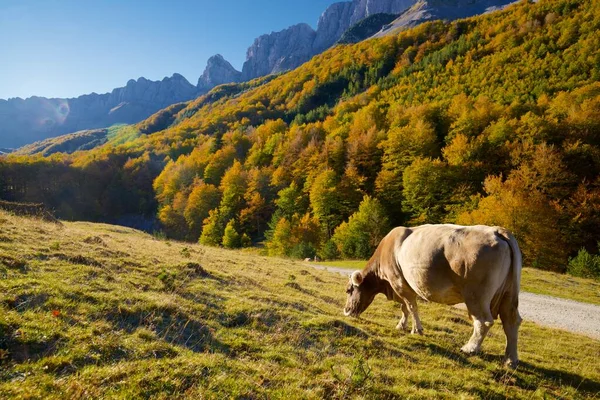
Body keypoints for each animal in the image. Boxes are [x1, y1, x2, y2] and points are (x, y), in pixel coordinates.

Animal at [344, 223, 524, 368]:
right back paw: (510, 359)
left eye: (349, 290)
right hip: (509, 293)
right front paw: (402, 325)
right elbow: (404, 308)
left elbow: (411, 307)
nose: (346, 311)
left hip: (476, 295)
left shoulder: (399, 283)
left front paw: (417, 329)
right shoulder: (401, 287)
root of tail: (496, 230)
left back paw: (470, 348)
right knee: (511, 321)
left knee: (483, 321)